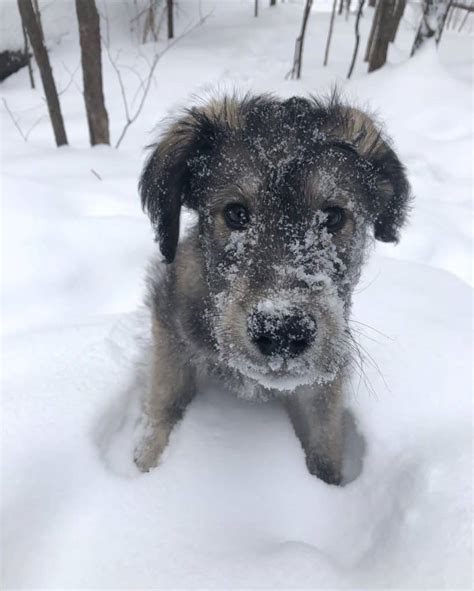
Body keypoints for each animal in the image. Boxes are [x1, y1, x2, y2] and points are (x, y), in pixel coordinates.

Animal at [134, 93, 412, 486]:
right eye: (236, 214)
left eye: (332, 217)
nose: (283, 331)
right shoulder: (171, 328)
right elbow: (165, 402)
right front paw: (148, 462)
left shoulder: (323, 382)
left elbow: (325, 443)